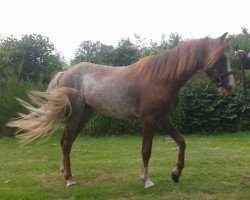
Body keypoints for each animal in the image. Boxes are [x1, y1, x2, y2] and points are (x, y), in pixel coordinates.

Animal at [7, 32, 234, 188]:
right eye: (221, 58)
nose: (230, 86)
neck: (160, 78)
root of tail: (65, 73)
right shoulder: (149, 120)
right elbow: (146, 151)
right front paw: (146, 180)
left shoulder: (162, 118)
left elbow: (181, 141)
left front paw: (176, 173)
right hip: (75, 116)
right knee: (65, 143)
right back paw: (70, 179)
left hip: (84, 116)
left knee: (67, 143)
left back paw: (64, 171)